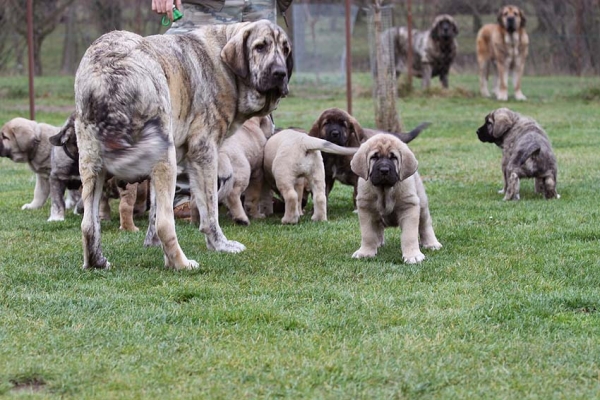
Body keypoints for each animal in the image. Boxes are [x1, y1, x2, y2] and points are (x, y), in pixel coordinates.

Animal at [350, 136, 442, 264]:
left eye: (393, 157)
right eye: (374, 157)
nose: (384, 170)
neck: (384, 190)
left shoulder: (409, 207)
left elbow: (409, 235)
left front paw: (412, 255)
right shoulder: (365, 208)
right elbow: (368, 234)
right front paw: (365, 252)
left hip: (422, 205)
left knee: (425, 224)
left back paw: (431, 243)